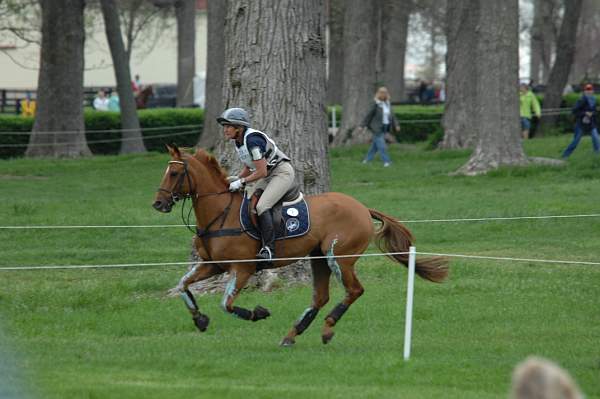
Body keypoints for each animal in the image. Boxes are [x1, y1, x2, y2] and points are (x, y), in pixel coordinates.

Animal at [152, 145, 448, 346]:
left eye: (175, 172)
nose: (158, 204)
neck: (220, 212)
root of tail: (363, 208)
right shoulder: (212, 265)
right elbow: (183, 285)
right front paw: (200, 319)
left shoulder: (242, 268)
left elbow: (227, 304)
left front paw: (258, 313)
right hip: (319, 258)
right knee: (321, 297)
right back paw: (292, 334)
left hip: (339, 257)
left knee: (353, 290)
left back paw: (327, 328)